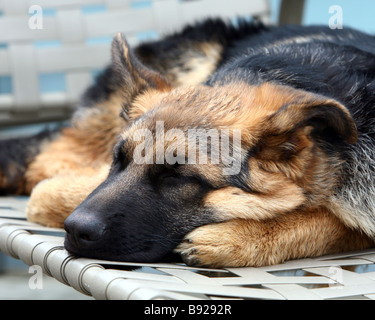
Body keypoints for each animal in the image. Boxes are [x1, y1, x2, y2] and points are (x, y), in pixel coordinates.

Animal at [2, 18, 375, 266]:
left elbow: (333, 223)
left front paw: (238, 238)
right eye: (118, 160)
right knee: (48, 162)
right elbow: (49, 193)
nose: (75, 229)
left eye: (176, 177)